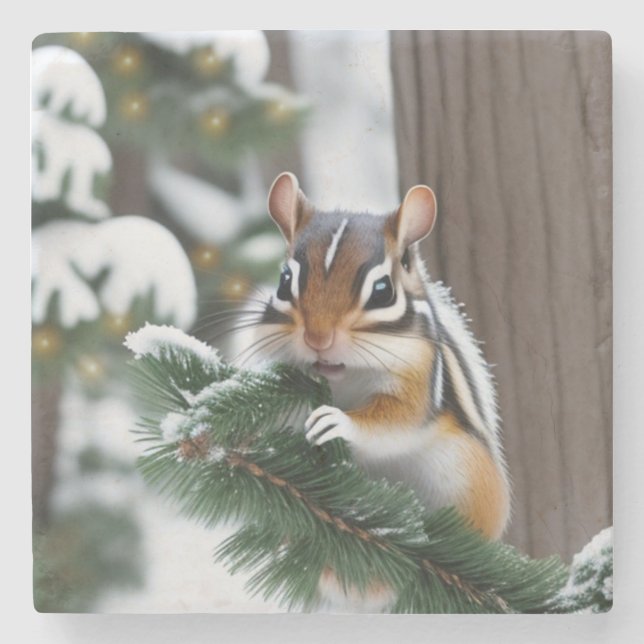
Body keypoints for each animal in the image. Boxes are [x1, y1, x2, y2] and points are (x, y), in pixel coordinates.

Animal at [250, 172, 511, 610]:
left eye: (382, 290)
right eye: (285, 282)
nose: (318, 338)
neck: (345, 377)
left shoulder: (418, 377)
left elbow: (396, 421)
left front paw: (336, 422)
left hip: (469, 478)